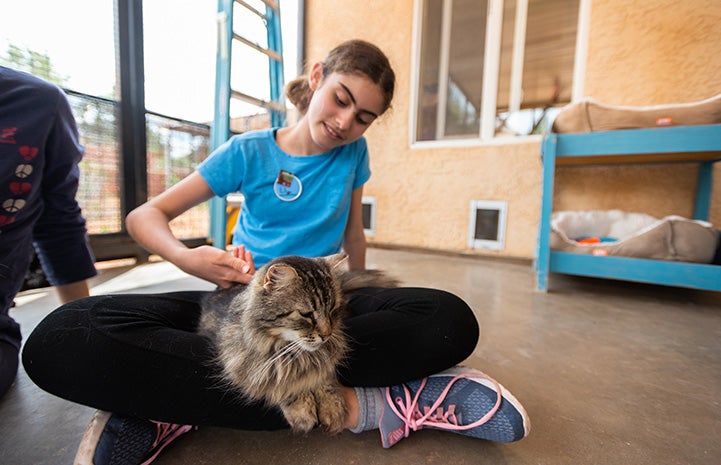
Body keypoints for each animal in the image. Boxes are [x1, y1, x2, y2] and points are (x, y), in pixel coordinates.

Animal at [197, 252, 400, 434]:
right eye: (306, 314)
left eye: (332, 310)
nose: (326, 335)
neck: (295, 352)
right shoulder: (255, 368)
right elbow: (286, 383)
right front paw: (302, 411)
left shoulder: (326, 360)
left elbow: (325, 378)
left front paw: (332, 407)